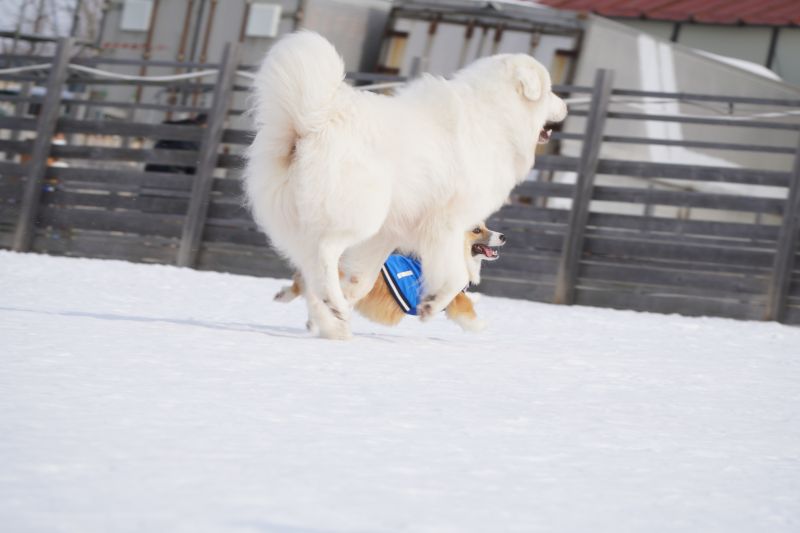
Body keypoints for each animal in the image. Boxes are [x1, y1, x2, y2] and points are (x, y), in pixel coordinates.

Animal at [247, 31, 564, 338]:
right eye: (549, 90)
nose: (565, 107)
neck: (497, 118)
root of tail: (312, 122)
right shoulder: (447, 224)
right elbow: (456, 277)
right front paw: (430, 305)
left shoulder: (389, 233)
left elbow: (361, 281)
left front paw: (338, 313)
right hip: (361, 215)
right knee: (323, 252)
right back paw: (332, 304)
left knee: (312, 267)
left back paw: (332, 318)